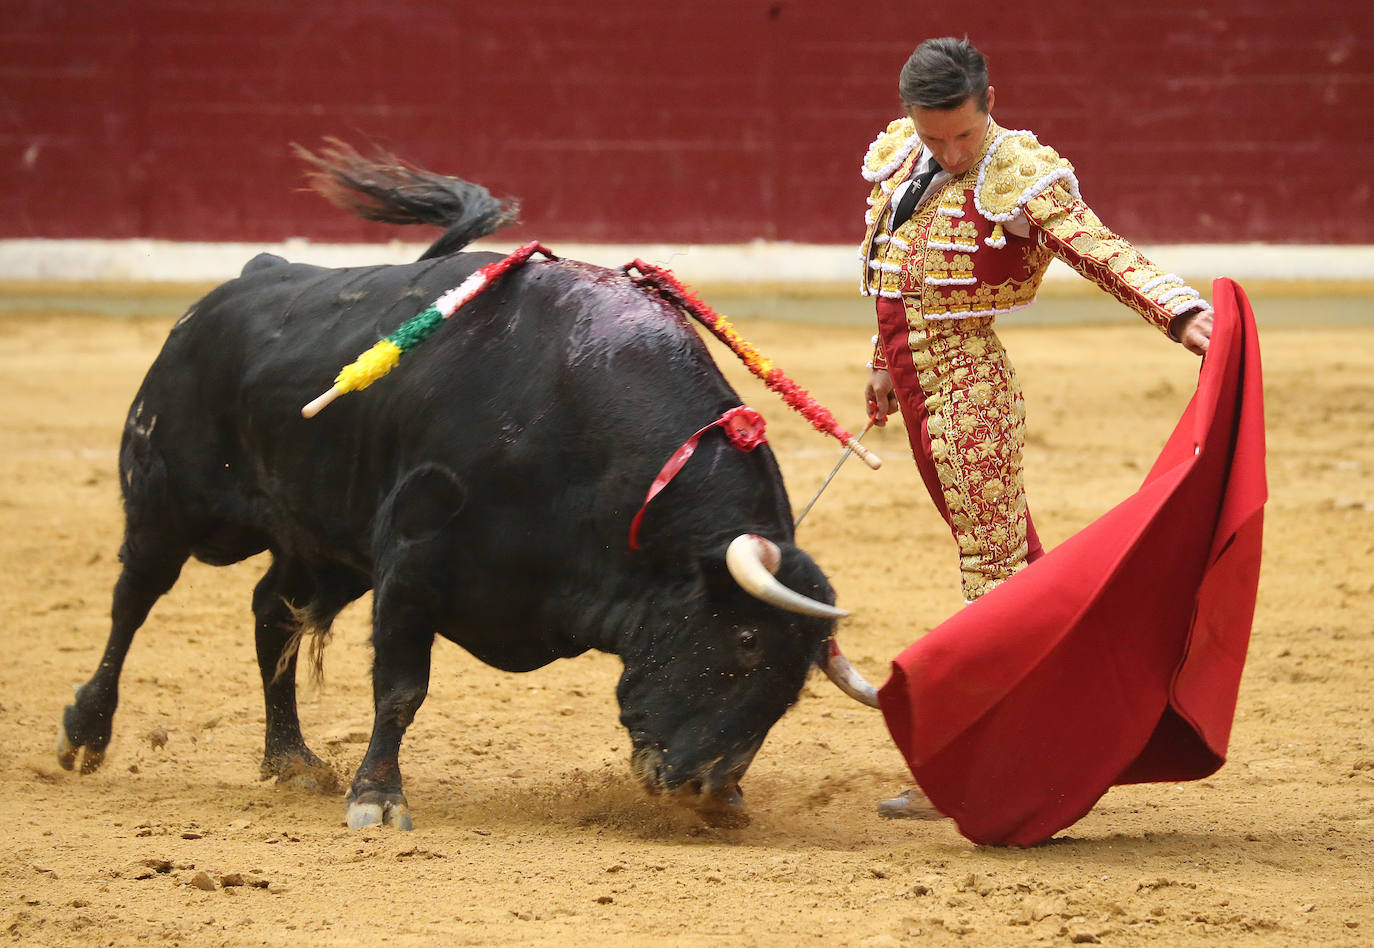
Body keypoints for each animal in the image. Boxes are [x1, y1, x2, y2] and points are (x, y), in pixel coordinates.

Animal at [59, 144, 873, 829]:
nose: (713, 792)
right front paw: (378, 799)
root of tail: (242, 280)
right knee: (133, 598)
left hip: (324, 542)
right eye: (745, 640)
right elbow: (401, 687)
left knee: (271, 614)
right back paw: (85, 734)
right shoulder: (413, 557)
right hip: (167, 500)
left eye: (796, 684)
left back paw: (291, 760)